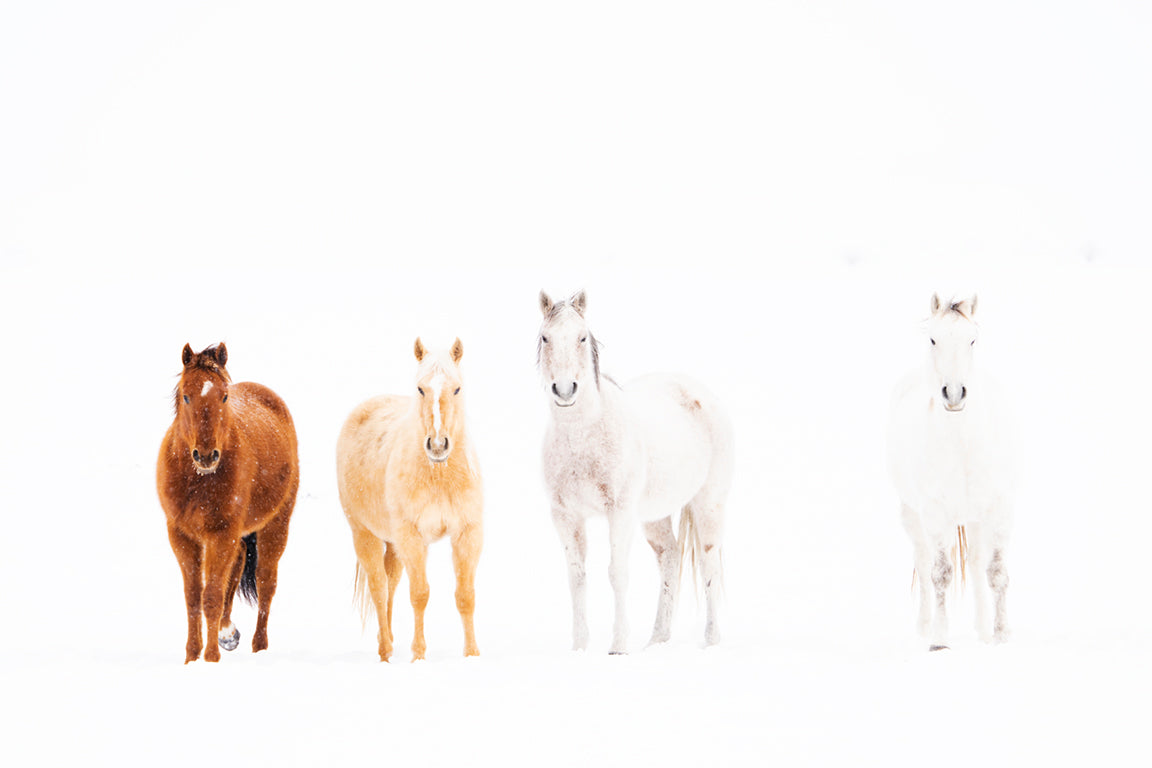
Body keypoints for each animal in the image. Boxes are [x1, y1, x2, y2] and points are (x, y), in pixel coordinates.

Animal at [156, 343, 299, 663]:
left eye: (223, 396)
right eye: (186, 395)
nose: (206, 455)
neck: (198, 479)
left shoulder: (221, 534)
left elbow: (211, 596)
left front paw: (210, 659)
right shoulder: (181, 535)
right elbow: (194, 597)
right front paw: (192, 657)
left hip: (276, 525)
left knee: (265, 582)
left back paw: (259, 647)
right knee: (236, 568)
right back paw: (227, 632)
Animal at [337, 338, 483, 662]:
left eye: (457, 388)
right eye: (420, 389)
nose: (438, 445)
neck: (439, 474)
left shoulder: (467, 533)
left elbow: (465, 596)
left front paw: (472, 654)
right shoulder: (412, 537)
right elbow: (420, 595)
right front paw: (418, 656)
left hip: (393, 543)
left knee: (390, 584)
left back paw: (389, 639)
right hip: (364, 534)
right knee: (379, 588)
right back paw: (385, 651)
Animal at [537, 290, 734, 653]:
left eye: (581, 337)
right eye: (546, 337)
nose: (565, 390)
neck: (584, 436)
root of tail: (699, 392)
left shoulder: (620, 512)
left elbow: (617, 573)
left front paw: (618, 645)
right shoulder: (565, 516)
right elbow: (576, 577)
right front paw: (580, 646)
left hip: (709, 503)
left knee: (708, 561)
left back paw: (711, 640)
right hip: (655, 517)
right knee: (670, 558)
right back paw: (657, 639)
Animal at [886, 294, 1016, 651]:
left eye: (972, 340)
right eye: (933, 339)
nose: (955, 393)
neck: (961, 446)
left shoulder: (998, 509)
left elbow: (996, 572)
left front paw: (1001, 635)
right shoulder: (934, 513)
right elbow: (940, 573)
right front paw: (940, 640)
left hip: (975, 518)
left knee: (975, 562)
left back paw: (983, 630)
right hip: (911, 515)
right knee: (923, 561)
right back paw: (924, 626)